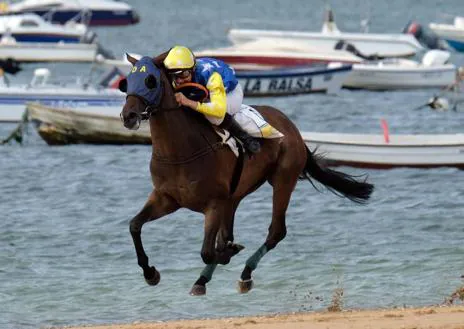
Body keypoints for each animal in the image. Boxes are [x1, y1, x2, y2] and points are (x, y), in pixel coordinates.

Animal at [118, 53, 374, 294]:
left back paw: (245, 274)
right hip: (235, 196)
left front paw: (229, 253)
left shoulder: (214, 204)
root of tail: (292, 127)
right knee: (228, 234)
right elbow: (134, 225)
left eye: (150, 81)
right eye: (127, 81)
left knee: (276, 231)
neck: (179, 151)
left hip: (283, 180)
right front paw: (150, 273)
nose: (128, 116)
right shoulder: (166, 198)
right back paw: (203, 279)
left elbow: (208, 251)